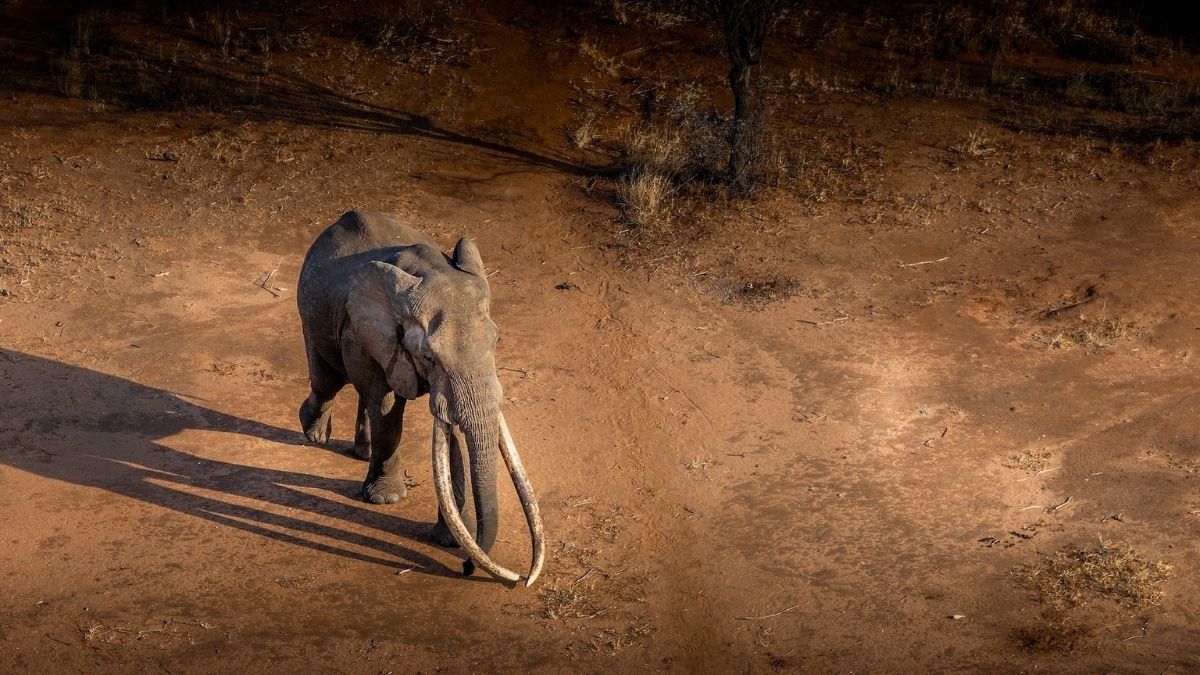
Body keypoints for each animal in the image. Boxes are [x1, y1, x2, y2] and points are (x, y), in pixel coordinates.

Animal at [296, 210, 543, 585]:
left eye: (497, 341)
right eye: (429, 357)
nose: (465, 567)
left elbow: (449, 428)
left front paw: (452, 538)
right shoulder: (363, 330)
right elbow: (386, 406)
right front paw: (387, 500)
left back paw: (362, 451)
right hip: (313, 313)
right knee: (329, 380)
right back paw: (314, 433)